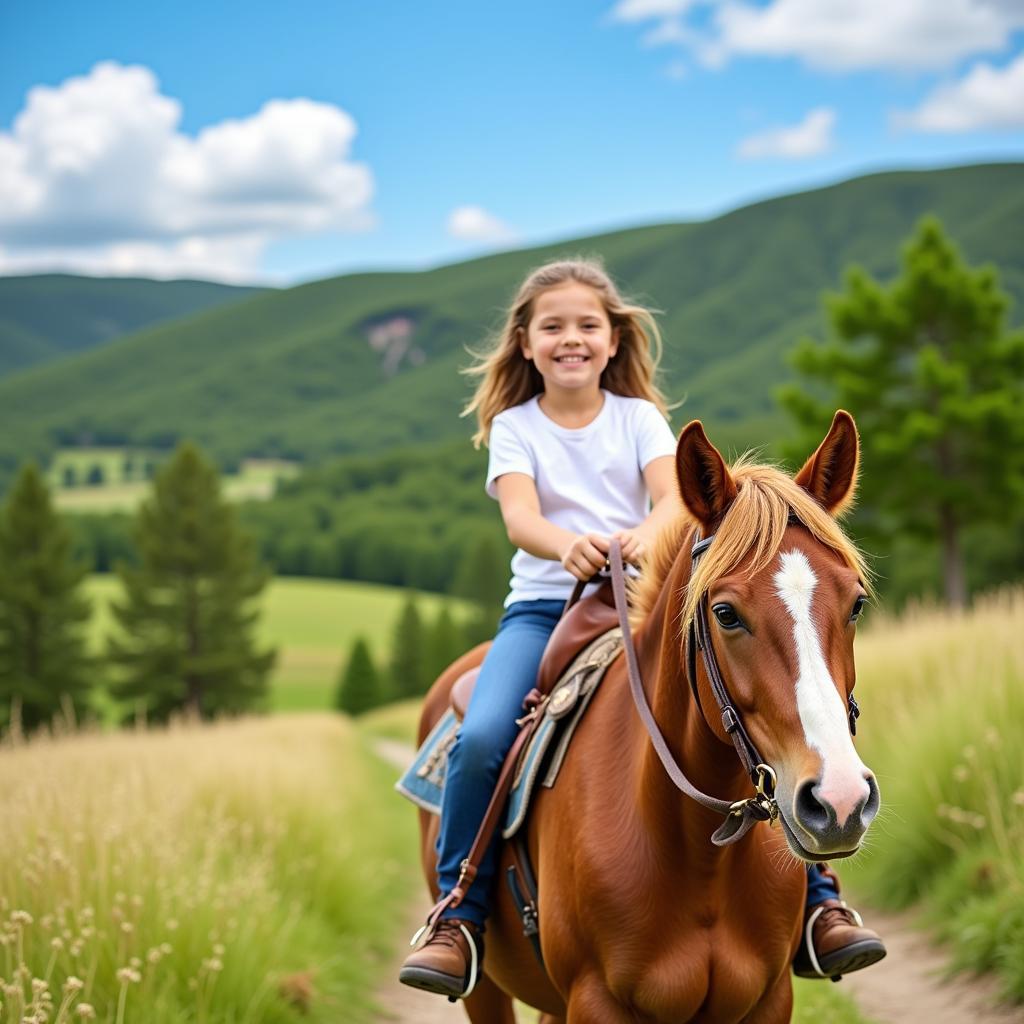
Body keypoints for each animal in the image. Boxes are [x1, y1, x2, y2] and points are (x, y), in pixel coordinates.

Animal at [415, 411, 880, 1019]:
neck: (698, 856)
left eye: (856, 604)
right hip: (487, 990)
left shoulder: (768, 1000)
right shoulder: (595, 1001)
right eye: (725, 613)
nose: (839, 801)